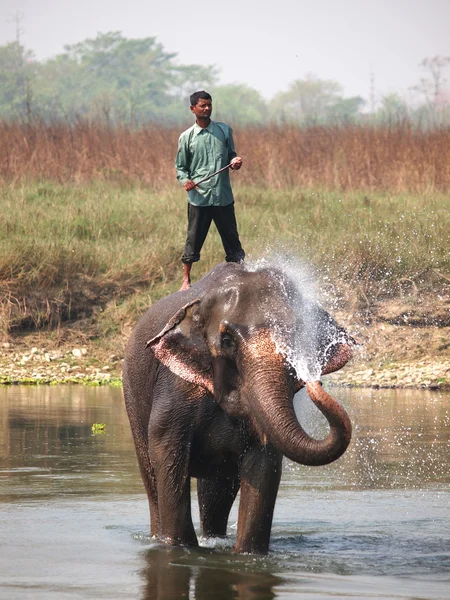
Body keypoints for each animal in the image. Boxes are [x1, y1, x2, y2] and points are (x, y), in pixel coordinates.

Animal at [123, 260, 356, 556]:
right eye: (227, 341)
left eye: (298, 336)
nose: (314, 380)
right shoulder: (174, 386)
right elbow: (168, 454)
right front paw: (181, 549)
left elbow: (265, 462)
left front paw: (248, 555)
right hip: (132, 394)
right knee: (152, 477)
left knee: (216, 490)